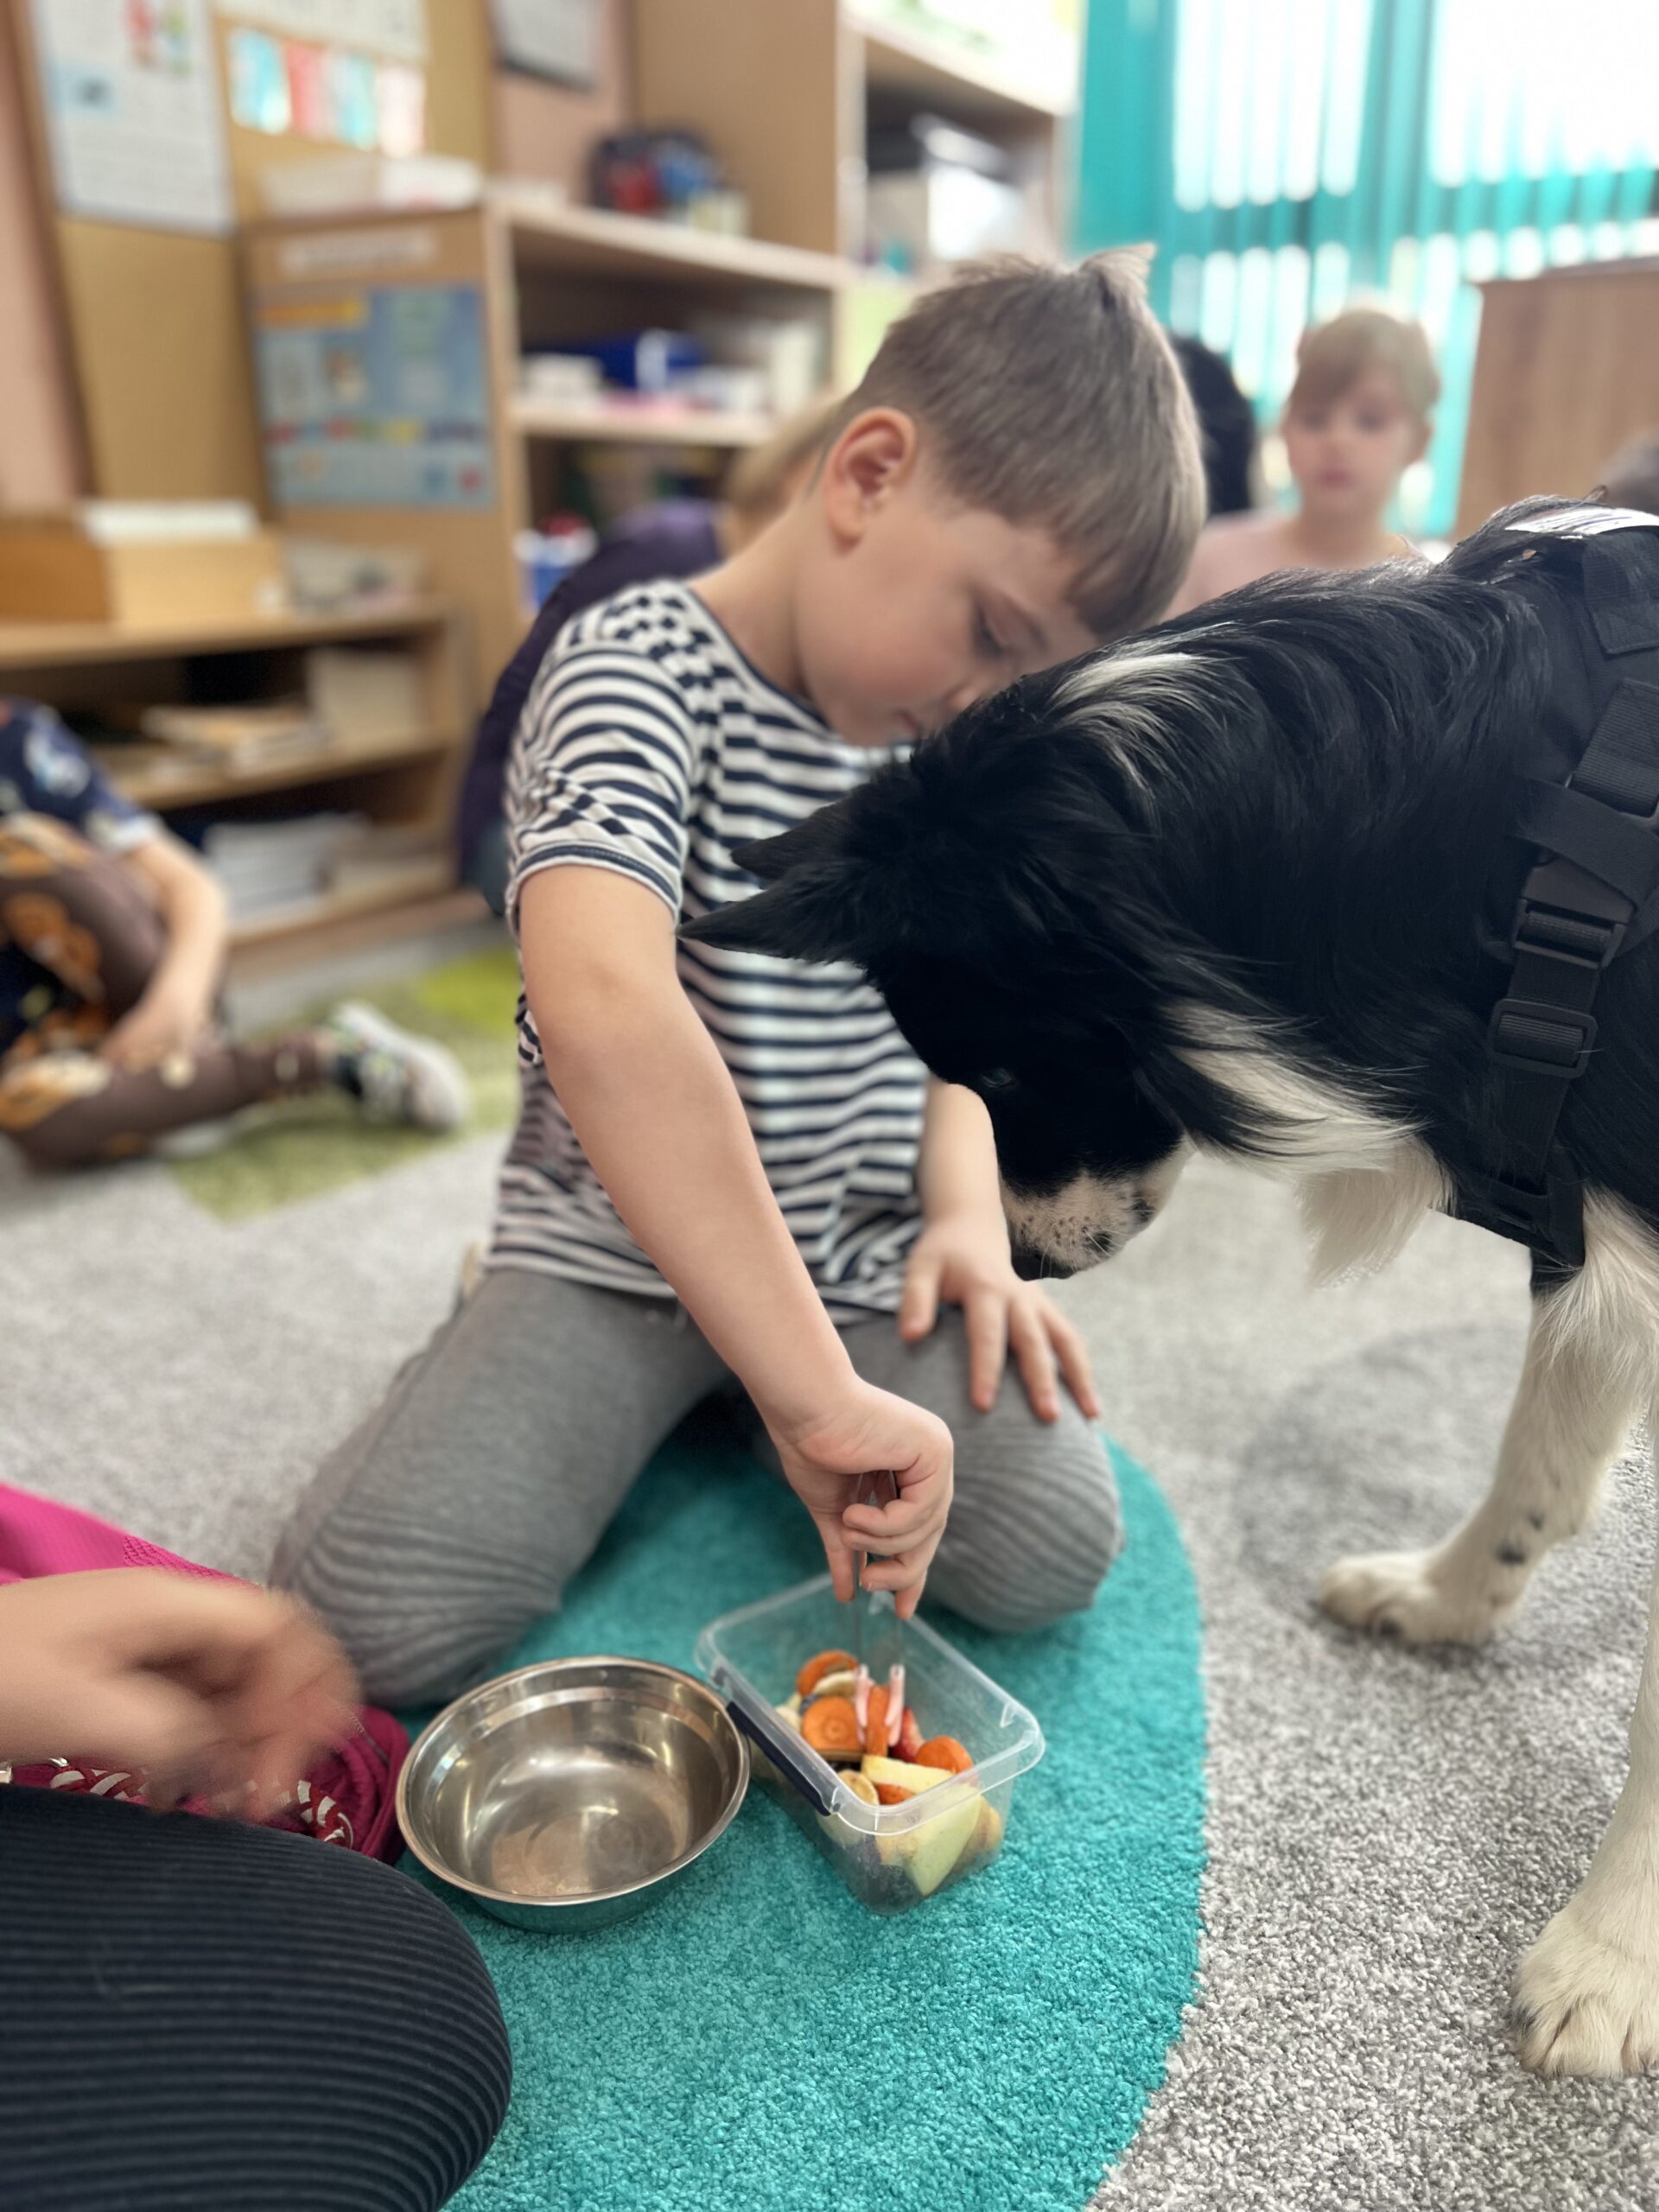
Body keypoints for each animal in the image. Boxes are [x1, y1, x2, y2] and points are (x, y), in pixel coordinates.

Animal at [685, 497, 1659, 2076]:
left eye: (1004, 1064)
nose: (1018, 1265)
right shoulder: (1589, 1208)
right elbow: (1537, 1462)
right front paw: (1448, 1599)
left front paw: (1611, 1957)